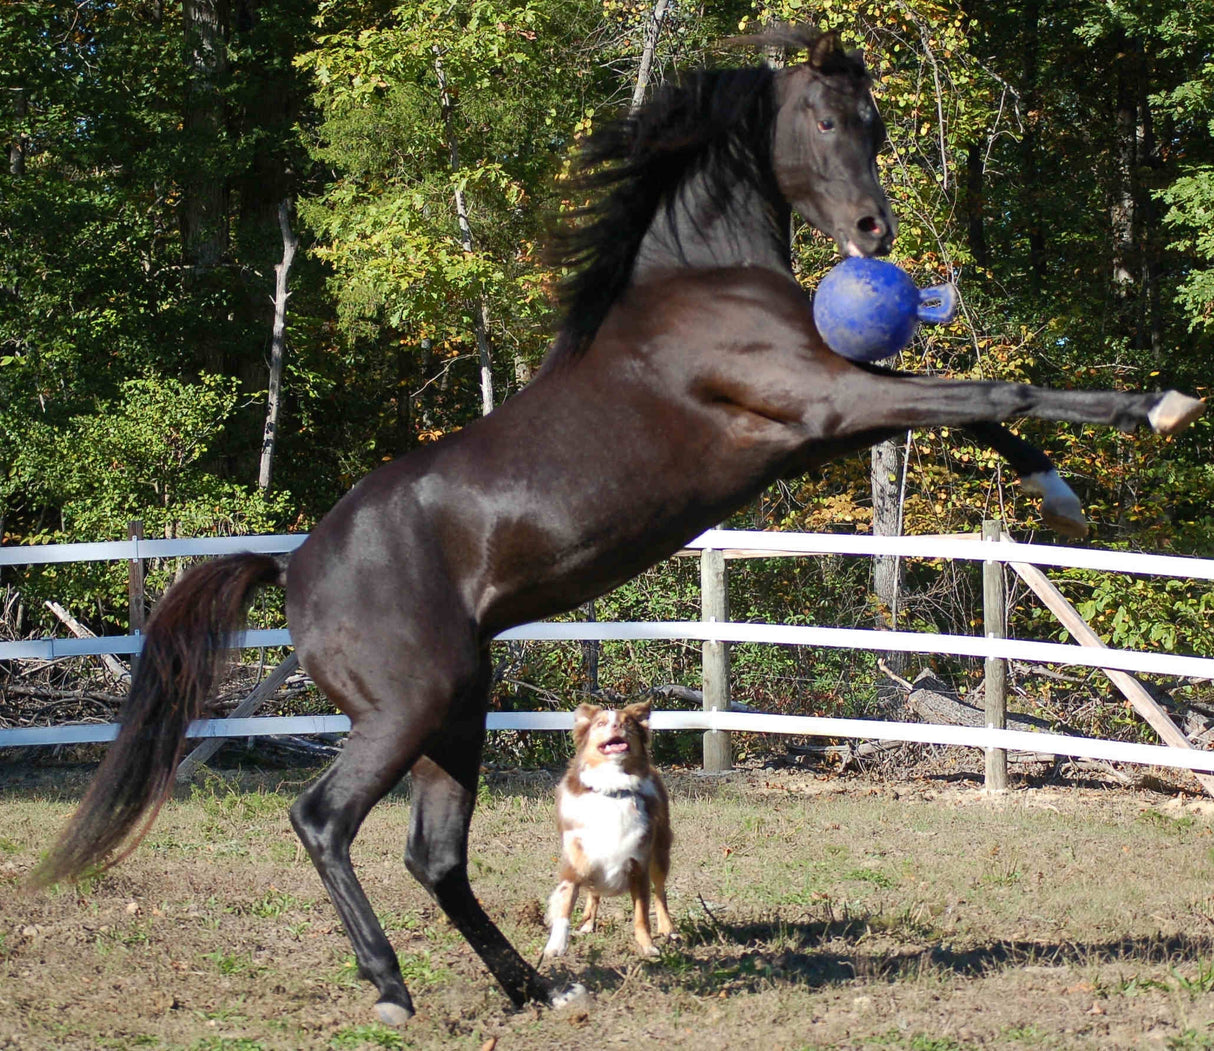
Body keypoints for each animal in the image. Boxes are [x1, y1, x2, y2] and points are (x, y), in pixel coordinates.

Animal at [548, 694, 679, 956]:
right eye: (600, 724)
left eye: (628, 722)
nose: (617, 725)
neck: (612, 788)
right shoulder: (576, 861)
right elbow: (564, 904)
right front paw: (556, 945)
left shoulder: (638, 865)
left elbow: (641, 915)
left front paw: (648, 946)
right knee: (593, 893)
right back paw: (587, 923)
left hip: (660, 852)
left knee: (660, 891)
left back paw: (668, 928)